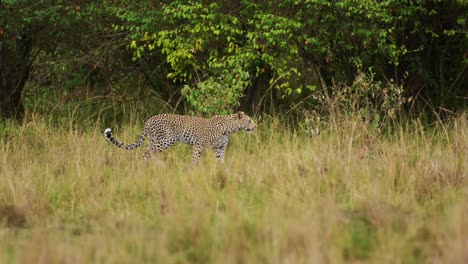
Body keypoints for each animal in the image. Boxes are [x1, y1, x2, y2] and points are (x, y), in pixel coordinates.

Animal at [103, 111, 256, 163]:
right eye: (249, 120)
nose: (255, 127)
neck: (228, 129)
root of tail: (148, 120)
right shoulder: (199, 144)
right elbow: (195, 159)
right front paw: (193, 171)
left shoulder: (220, 148)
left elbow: (221, 162)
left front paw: (223, 173)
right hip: (166, 139)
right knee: (149, 153)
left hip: (153, 140)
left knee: (147, 153)